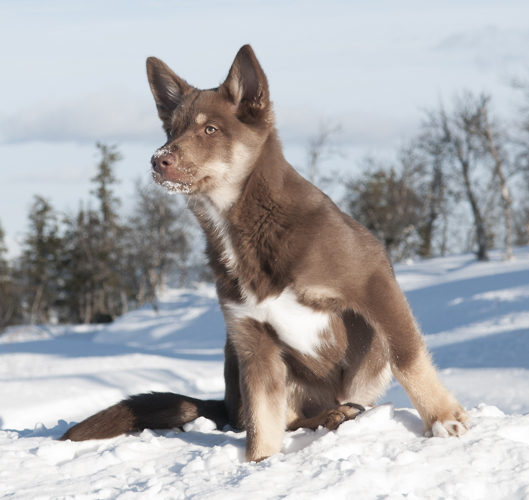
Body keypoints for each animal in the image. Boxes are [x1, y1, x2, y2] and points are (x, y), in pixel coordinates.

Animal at [59, 46, 468, 460]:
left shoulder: (373, 286)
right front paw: (261, 463)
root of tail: (224, 404)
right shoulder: (253, 341)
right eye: (171, 131)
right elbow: (261, 422)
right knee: (275, 418)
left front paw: (442, 418)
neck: (245, 228)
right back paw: (331, 416)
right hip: (238, 358)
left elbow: (408, 358)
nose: (158, 160)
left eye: (210, 129)